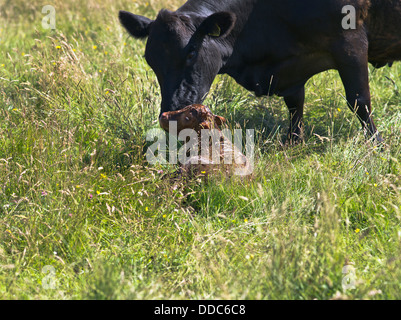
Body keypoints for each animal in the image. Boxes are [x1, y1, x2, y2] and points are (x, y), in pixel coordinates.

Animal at [119, 0, 400, 142]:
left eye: (190, 54)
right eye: (150, 61)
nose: (171, 111)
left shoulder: (351, 42)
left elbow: (359, 101)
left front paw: (376, 145)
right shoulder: (290, 69)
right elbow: (295, 106)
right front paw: (293, 143)